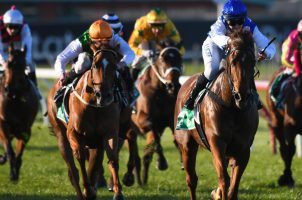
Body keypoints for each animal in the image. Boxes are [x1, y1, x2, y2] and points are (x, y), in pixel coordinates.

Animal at [0, 44, 39, 181]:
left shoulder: (25, 128)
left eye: (23, 66)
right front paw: (12, 172)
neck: (15, 99)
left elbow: (19, 151)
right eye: (9, 64)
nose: (10, 90)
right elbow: (9, 150)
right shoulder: (3, 123)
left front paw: (15, 169)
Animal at [47, 47, 123, 200]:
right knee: (73, 170)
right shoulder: (74, 134)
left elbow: (112, 158)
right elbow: (80, 157)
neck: (95, 106)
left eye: (114, 66)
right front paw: (87, 190)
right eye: (95, 65)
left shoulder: (108, 133)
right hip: (61, 137)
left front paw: (118, 192)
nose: (103, 95)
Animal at [175, 28, 260, 199]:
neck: (234, 109)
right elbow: (224, 179)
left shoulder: (244, 148)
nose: (241, 96)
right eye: (232, 61)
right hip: (186, 145)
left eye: (252, 62)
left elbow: (233, 185)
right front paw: (219, 192)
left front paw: (219, 192)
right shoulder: (216, 141)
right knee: (191, 180)